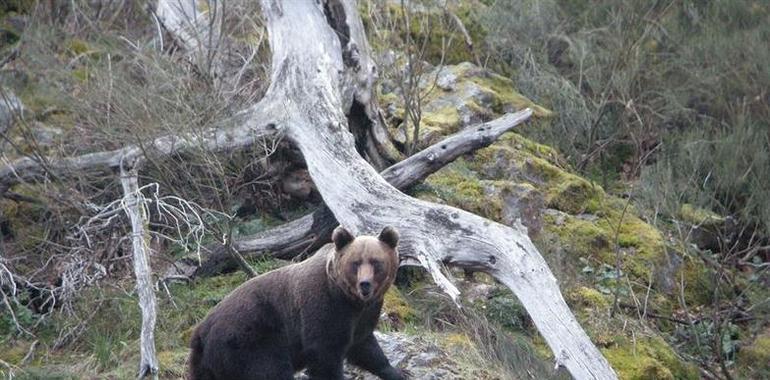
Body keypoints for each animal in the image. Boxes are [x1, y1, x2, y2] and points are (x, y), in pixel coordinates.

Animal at [187, 226, 404, 380]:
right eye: (355, 263)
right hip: (250, 341)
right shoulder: (325, 308)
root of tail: (201, 331)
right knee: (271, 371)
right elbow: (324, 355)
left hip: (207, 364)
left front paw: (395, 371)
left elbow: (366, 347)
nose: (364, 284)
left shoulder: (362, 317)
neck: (350, 299)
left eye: (376, 262)